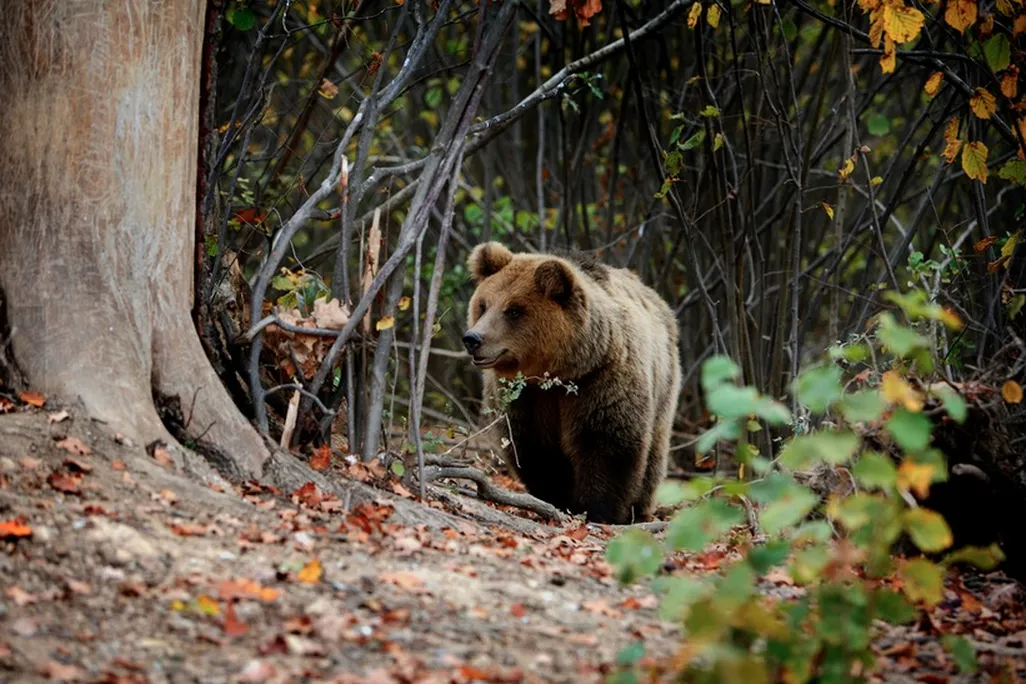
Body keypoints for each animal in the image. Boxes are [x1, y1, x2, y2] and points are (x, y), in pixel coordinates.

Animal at [463, 242, 682, 524]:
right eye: (483, 304)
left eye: (513, 310)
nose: (473, 339)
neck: (559, 371)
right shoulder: (525, 397)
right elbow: (536, 450)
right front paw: (557, 499)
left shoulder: (602, 380)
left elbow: (607, 445)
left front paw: (599, 510)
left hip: (664, 382)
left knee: (654, 452)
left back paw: (640, 509)